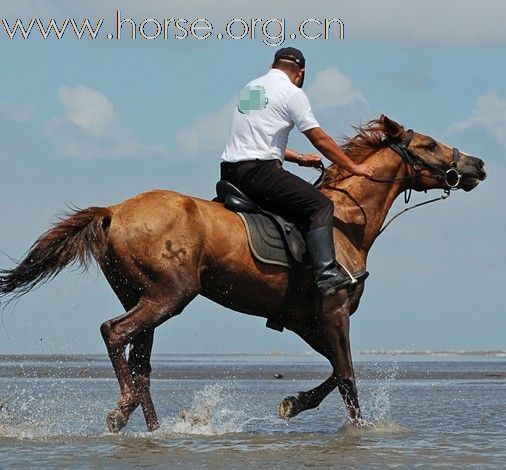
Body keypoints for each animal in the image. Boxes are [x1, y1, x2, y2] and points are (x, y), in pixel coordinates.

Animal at [1, 114, 488, 434]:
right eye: (429, 144)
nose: (478, 165)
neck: (347, 221)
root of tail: (114, 210)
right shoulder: (333, 313)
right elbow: (348, 377)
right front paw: (356, 430)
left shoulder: (308, 322)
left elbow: (336, 371)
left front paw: (293, 403)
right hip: (168, 296)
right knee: (114, 333)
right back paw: (122, 410)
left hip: (141, 296)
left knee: (141, 364)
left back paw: (155, 430)